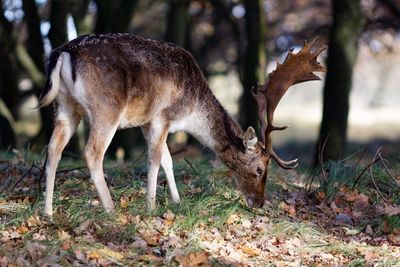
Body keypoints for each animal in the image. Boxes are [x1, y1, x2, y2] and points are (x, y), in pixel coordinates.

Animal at [40, 34, 326, 218]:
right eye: (259, 169)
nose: (260, 202)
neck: (191, 112)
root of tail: (64, 54)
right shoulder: (162, 116)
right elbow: (155, 159)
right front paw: (151, 207)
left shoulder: (146, 122)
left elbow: (168, 159)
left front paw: (176, 202)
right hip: (106, 109)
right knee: (92, 152)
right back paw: (110, 210)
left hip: (64, 107)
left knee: (53, 149)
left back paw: (48, 211)